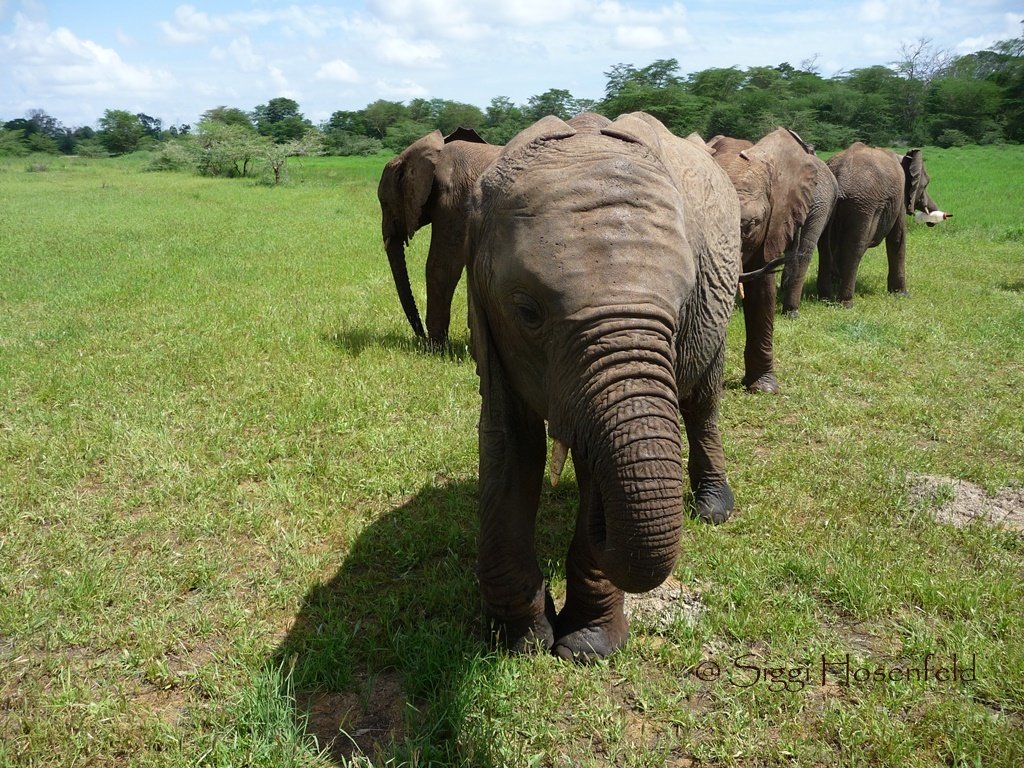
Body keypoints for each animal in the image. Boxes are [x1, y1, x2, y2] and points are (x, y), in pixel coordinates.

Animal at [466, 112, 745, 663]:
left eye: (683, 304)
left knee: (702, 402)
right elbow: (508, 442)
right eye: (527, 311)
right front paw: (520, 640)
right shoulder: (492, 324)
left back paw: (713, 508)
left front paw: (587, 646)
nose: (601, 521)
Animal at [815, 144, 942, 307]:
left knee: (824, 247)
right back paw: (846, 304)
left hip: (829, 203)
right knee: (854, 248)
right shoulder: (899, 198)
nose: (932, 221)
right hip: (863, 205)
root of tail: (840, 177)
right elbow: (898, 239)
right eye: (925, 185)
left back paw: (824, 298)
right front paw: (902, 295)